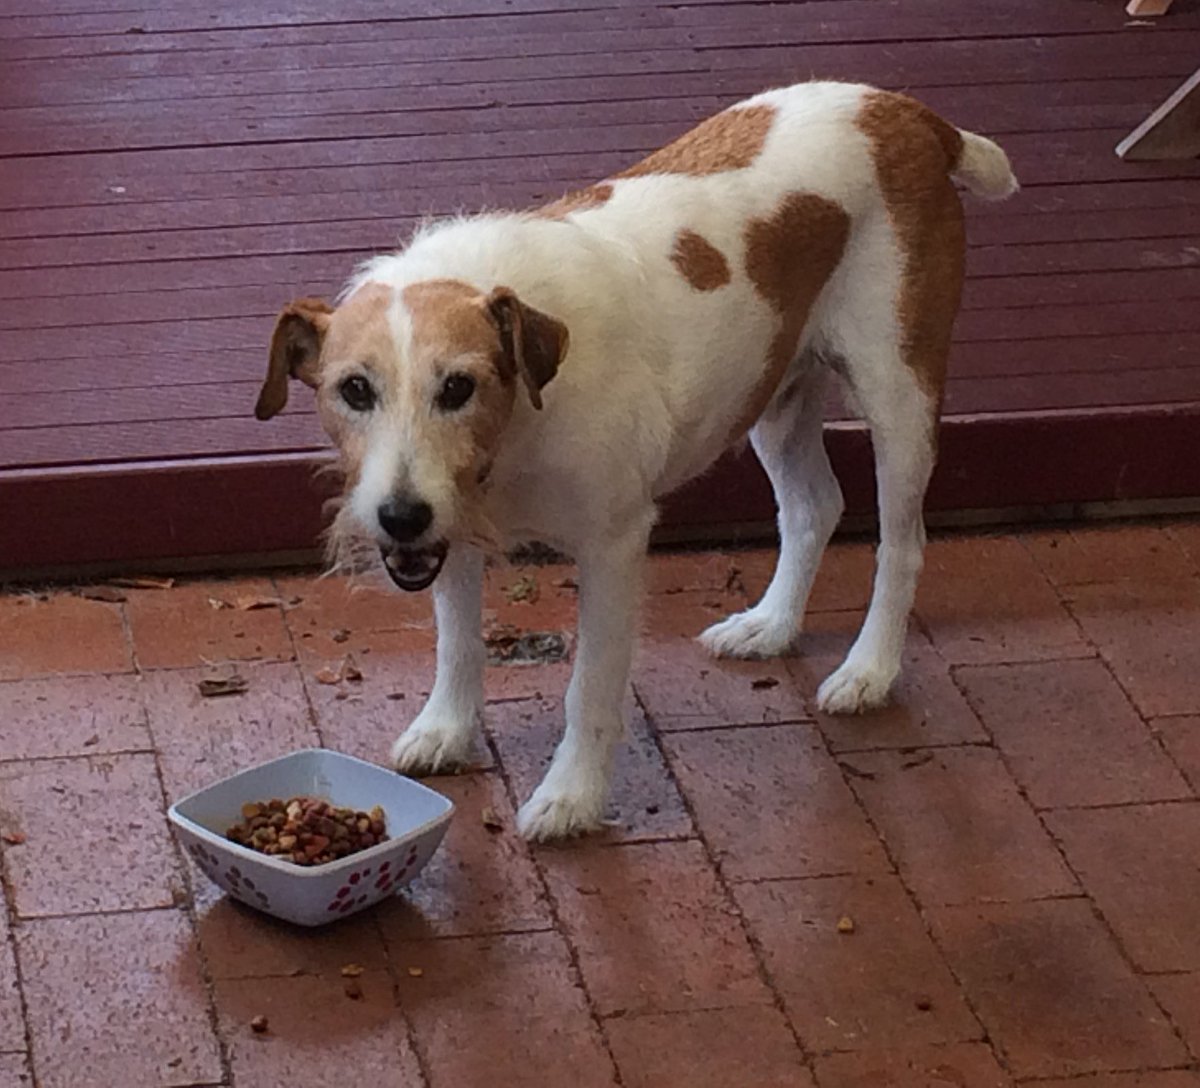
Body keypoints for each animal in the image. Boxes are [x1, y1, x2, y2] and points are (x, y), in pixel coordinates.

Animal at [258, 80, 1017, 844]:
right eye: (355, 389)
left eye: (458, 387)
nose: (399, 517)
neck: (522, 418)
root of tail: (903, 111)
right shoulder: (454, 532)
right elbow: (458, 643)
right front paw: (447, 729)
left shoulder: (613, 548)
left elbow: (589, 687)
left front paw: (572, 796)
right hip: (775, 391)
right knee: (814, 506)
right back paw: (770, 625)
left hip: (898, 392)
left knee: (902, 542)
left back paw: (870, 669)